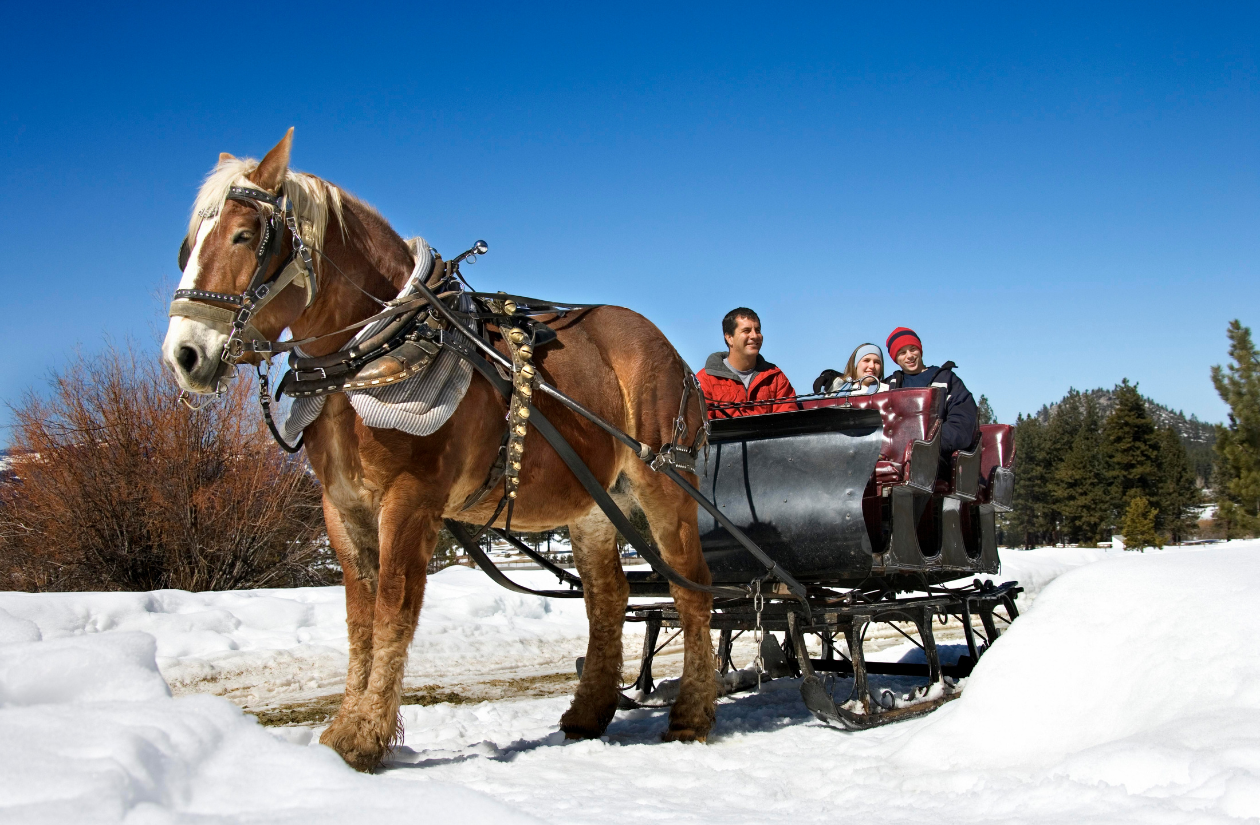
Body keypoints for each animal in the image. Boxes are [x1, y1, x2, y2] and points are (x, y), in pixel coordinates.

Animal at [165, 127, 720, 765]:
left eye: (245, 235)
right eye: (186, 247)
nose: (183, 355)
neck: (376, 349)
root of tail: (669, 351)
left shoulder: (411, 500)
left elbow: (394, 608)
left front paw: (365, 736)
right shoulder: (342, 507)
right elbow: (359, 617)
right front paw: (343, 729)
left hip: (663, 486)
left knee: (691, 587)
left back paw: (692, 714)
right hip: (595, 506)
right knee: (608, 597)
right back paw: (588, 712)